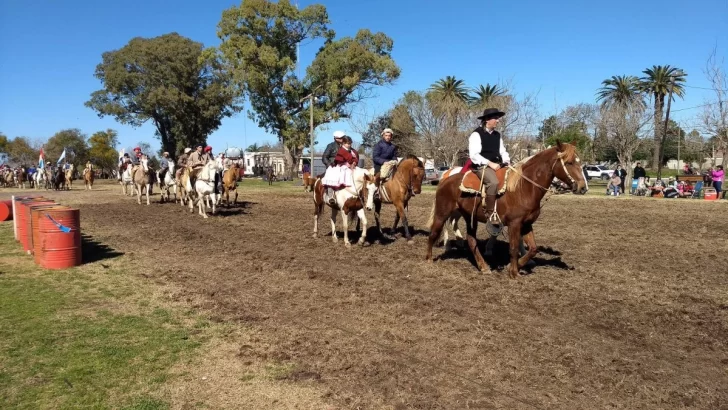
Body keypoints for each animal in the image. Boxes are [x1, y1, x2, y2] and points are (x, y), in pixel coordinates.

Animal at [424, 142, 588, 278]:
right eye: (569, 162)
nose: (583, 187)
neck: (523, 187)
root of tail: (445, 179)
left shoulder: (526, 224)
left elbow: (533, 248)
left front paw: (517, 265)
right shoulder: (514, 224)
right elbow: (513, 247)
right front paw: (513, 272)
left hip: (469, 217)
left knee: (471, 240)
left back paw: (483, 266)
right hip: (442, 213)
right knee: (434, 233)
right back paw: (429, 258)